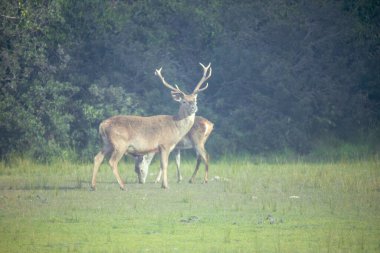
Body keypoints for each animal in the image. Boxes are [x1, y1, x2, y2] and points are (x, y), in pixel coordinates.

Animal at [91, 62, 212, 190]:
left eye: (195, 100)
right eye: (183, 101)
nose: (194, 107)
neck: (175, 127)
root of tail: (102, 125)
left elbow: (163, 165)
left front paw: (163, 184)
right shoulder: (164, 144)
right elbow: (165, 165)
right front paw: (165, 185)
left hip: (107, 143)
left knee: (97, 158)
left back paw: (93, 186)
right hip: (120, 143)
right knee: (112, 162)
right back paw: (123, 186)